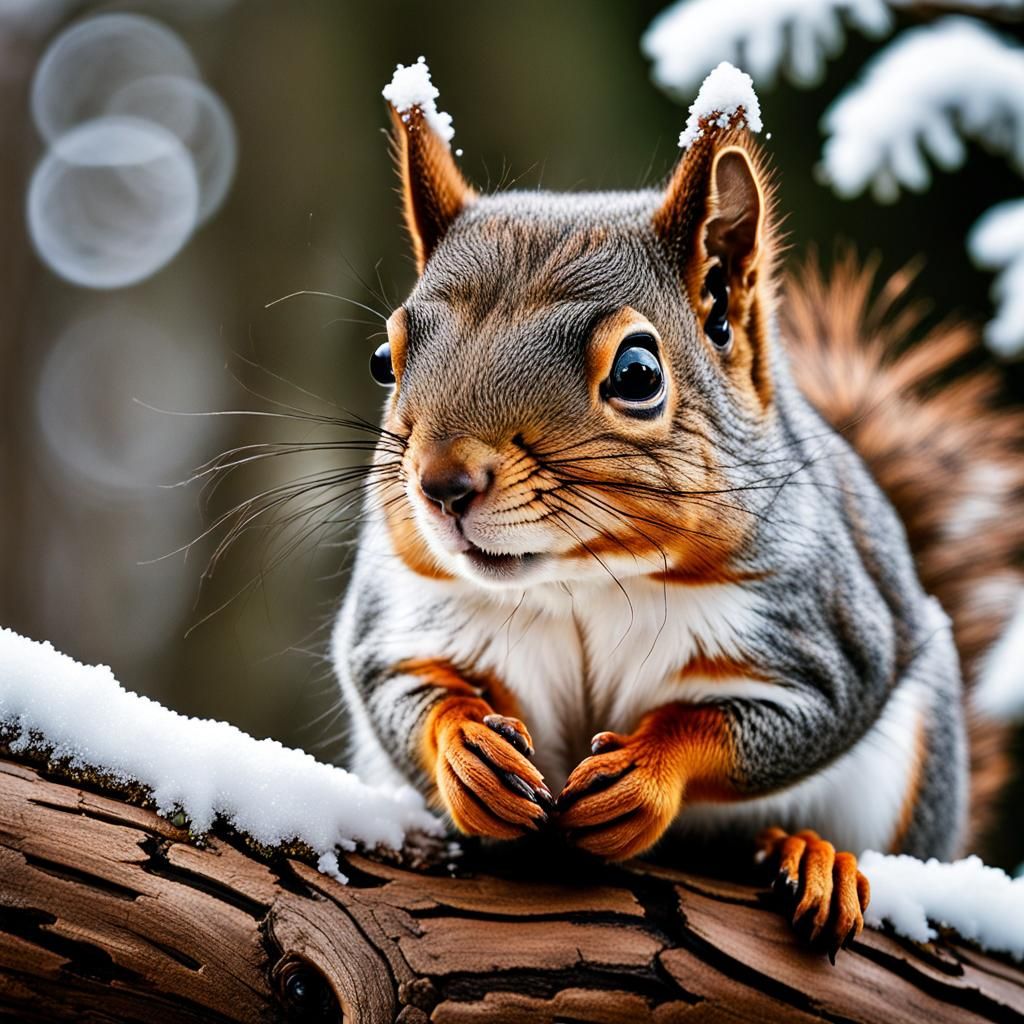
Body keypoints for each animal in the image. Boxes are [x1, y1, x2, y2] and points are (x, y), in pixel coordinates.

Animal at [331, 61, 1024, 958]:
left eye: (637, 374)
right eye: (385, 360)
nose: (443, 484)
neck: (580, 578)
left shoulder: (821, 639)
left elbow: (762, 722)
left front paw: (646, 772)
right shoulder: (402, 619)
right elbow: (410, 693)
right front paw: (466, 753)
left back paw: (818, 856)